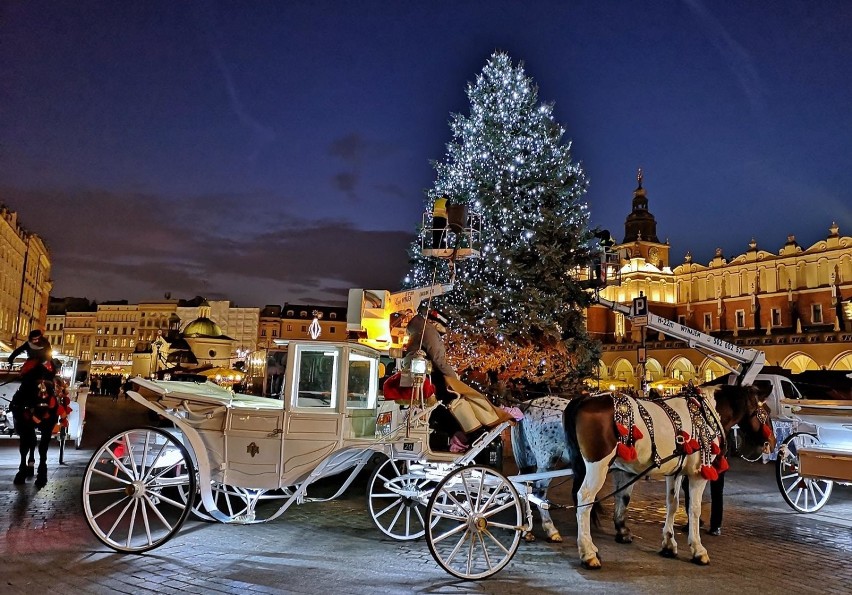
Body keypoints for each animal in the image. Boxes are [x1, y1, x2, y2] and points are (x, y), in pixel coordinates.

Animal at [564, 384, 776, 572]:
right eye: (766, 412)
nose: (771, 443)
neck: (707, 414)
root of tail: (584, 399)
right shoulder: (698, 474)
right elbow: (694, 509)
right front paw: (698, 549)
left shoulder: (675, 472)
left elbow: (672, 504)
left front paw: (668, 544)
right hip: (597, 465)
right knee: (585, 499)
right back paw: (588, 553)